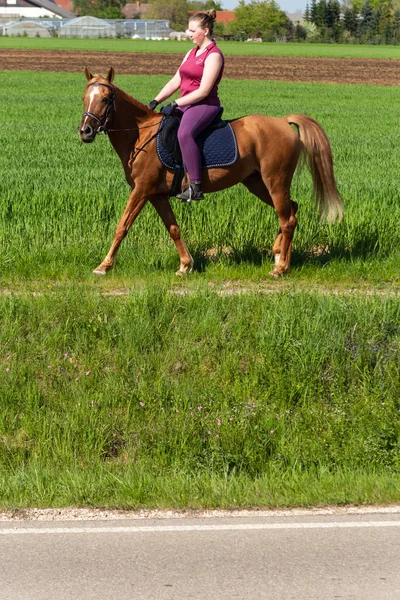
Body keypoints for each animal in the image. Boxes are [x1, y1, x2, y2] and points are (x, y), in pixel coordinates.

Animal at [79, 67, 344, 278]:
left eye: (106, 99)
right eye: (84, 98)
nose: (85, 131)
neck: (141, 134)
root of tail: (282, 121)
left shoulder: (141, 190)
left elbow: (122, 226)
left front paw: (103, 266)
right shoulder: (156, 195)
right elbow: (173, 228)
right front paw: (186, 265)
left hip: (275, 181)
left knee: (287, 218)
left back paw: (280, 268)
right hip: (256, 183)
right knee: (293, 210)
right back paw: (279, 255)